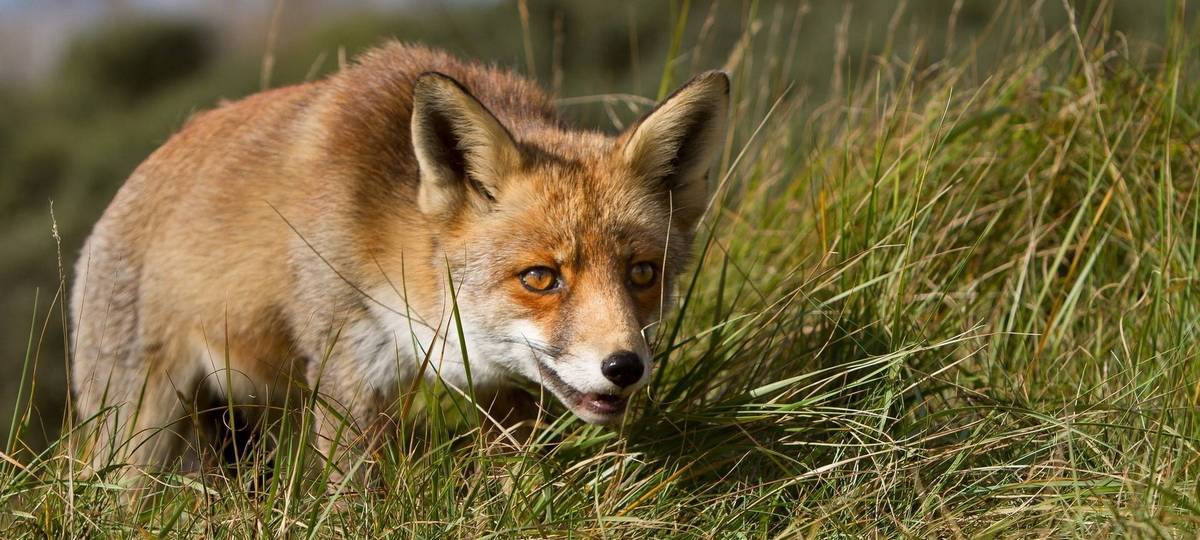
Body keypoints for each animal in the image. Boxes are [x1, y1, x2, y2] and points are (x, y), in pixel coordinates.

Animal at [70, 42, 729, 485]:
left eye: (642, 274)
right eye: (540, 278)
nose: (625, 367)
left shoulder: (503, 391)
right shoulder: (346, 368)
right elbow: (353, 493)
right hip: (140, 433)